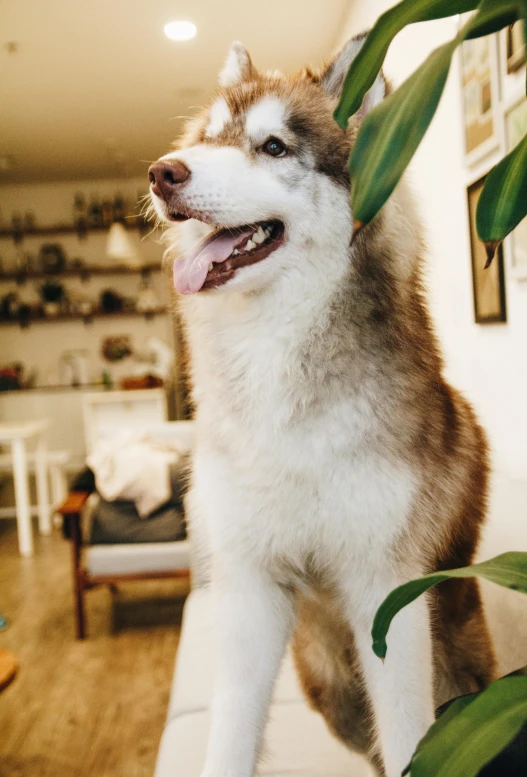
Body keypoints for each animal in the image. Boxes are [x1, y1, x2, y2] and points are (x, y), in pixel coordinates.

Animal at [150, 38, 500, 777]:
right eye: (206, 140)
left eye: (274, 147)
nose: (162, 173)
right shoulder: (249, 589)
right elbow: (229, 734)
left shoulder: (387, 594)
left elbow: (408, 738)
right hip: (331, 688)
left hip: (462, 688)